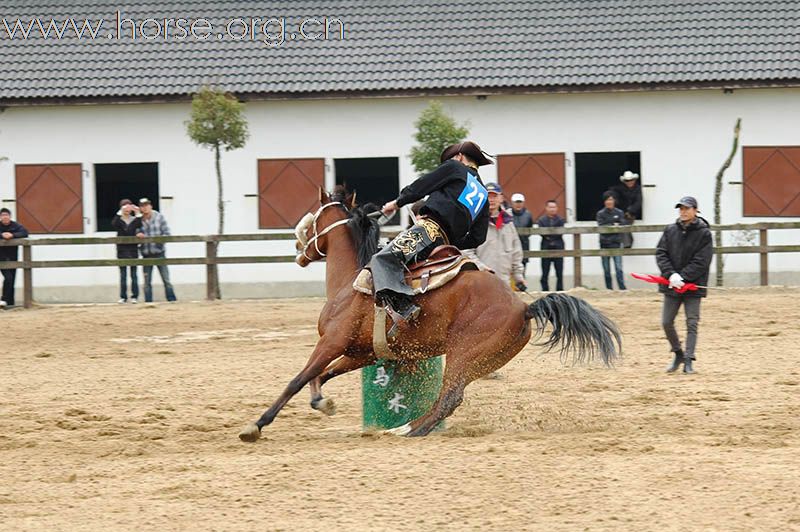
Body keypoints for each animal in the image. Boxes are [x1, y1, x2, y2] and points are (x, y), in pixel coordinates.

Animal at [241, 188, 620, 440]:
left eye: (314, 218)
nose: (298, 249)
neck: (350, 283)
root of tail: (524, 306)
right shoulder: (361, 353)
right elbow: (323, 375)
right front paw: (323, 402)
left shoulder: (331, 342)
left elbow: (298, 378)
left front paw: (256, 425)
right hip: (478, 361)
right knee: (446, 399)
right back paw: (406, 428)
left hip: (463, 353)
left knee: (448, 399)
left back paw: (408, 430)